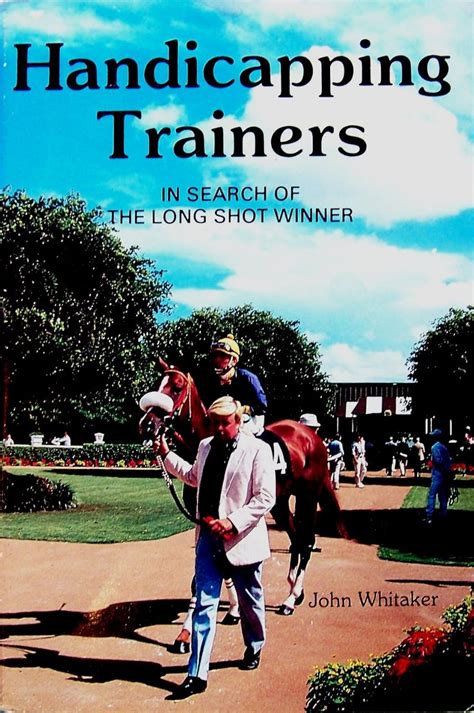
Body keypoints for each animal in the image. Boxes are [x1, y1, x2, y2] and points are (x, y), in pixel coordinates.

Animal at [139, 363, 346, 649]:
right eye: (159, 384)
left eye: (177, 387)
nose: (147, 425)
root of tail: (312, 437)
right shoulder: (205, 517)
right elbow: (219, 568)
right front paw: (233, 611)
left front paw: (186, 633)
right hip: (279, 503)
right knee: (295, 538)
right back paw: (295, 590)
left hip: (307, 495)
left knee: (306, 541)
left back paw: (291, 599)